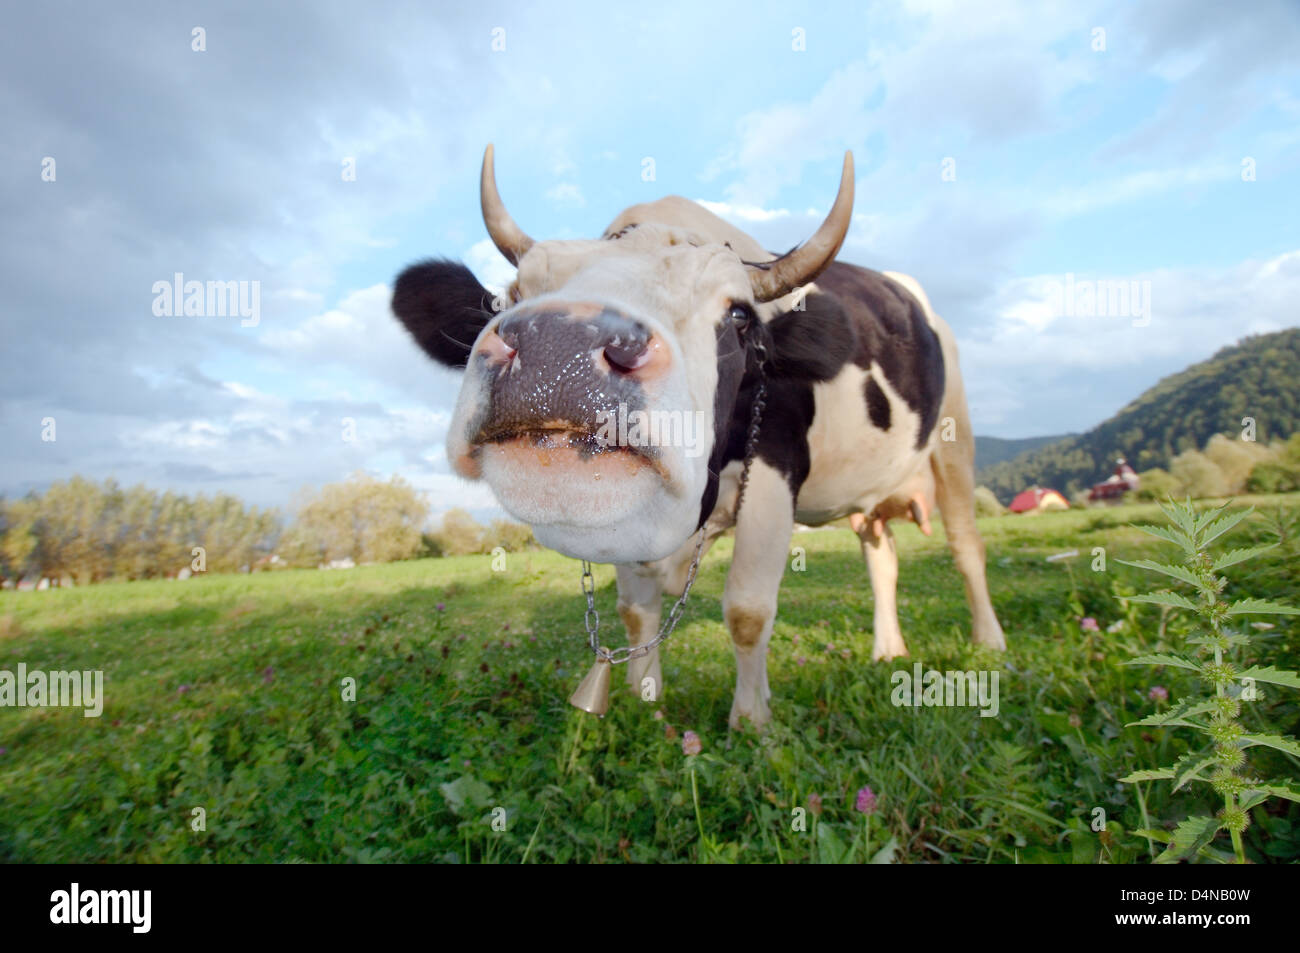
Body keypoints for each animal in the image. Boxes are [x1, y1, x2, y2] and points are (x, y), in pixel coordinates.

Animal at [390, 144, 1008, 728]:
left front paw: (751, 722)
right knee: (881, 555)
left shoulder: (774, 473)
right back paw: (888, 650)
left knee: (965, 544)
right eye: (511, 295)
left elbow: (747, 609)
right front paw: (645, 700)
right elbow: (635, 611)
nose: (558, 351)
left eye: (738, 316)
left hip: (955, 438)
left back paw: (989, 642)